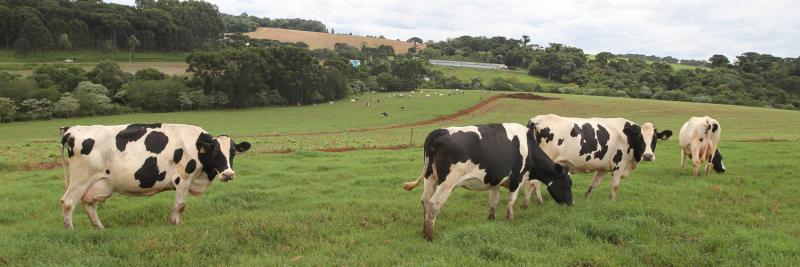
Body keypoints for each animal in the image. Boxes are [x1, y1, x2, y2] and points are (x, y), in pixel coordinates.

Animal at [59, 124, 250, 230]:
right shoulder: (183, 179)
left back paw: (100, 228)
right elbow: (180, 205)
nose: (228, 174)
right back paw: (70, 230)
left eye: (233, 152)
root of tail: (71, 130)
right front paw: (176, 224)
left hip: (98, 182)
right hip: (80, 179)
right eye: (215, 153)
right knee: (68, 202)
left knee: (89, 204)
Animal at [404, 124, 572, 242]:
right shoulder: (516, 178)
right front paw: (510, 219)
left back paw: (424, 231)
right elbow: (511, 201)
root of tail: (439, 132)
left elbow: (494, 200)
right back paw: (430, 235)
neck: (529, 149)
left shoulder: (495, 179)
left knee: (425, 200)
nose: (571, 204)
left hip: (430, 177)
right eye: (567, 184)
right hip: (447, 182)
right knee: (434, 203)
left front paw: (491, 218)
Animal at [520, 115, 672, 203]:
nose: (648, 156)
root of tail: (537, 120)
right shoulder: (619, 164)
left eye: (655, 139)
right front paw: (613, 203)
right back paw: (527, 204)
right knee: (532, 183)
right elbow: (615, 185)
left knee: (534, 182)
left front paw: (586, 199)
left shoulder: (603, 167)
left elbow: (593, 184)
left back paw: (538, 201)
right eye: (640, 138)